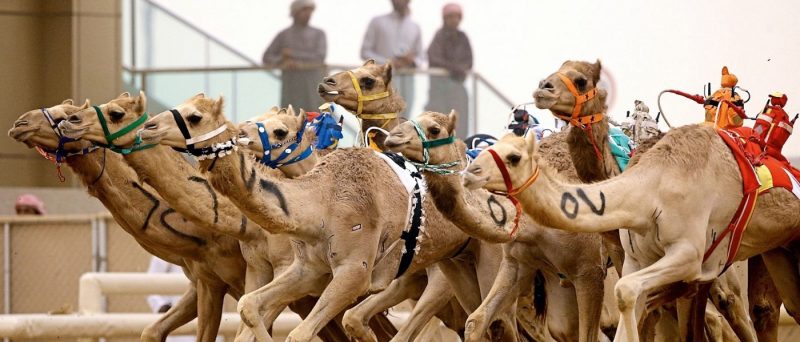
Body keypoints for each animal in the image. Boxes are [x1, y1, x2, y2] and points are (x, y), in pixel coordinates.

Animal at [138, 93, 520, 342]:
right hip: (455, 264)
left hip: (487, 264)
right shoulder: (307, 268)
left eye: (194, 116)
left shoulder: (353, 271)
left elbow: (299, 334)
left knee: (495, 321)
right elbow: (249, 306)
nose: (149, 127)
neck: (319, 201)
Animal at [384, 110, 616, 342]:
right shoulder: (517, 262)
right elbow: (477, 322)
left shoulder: (590, 269)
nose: (392, 137)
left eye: (434, 129)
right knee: (564, 326)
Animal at [460, 129, 800, 342]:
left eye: (514, 157)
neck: (650, 190)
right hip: (778, 249)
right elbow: (629, 299)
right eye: (489, 150)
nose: (469, 173)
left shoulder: (688, 255)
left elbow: (622, 294)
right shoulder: (638, 260)